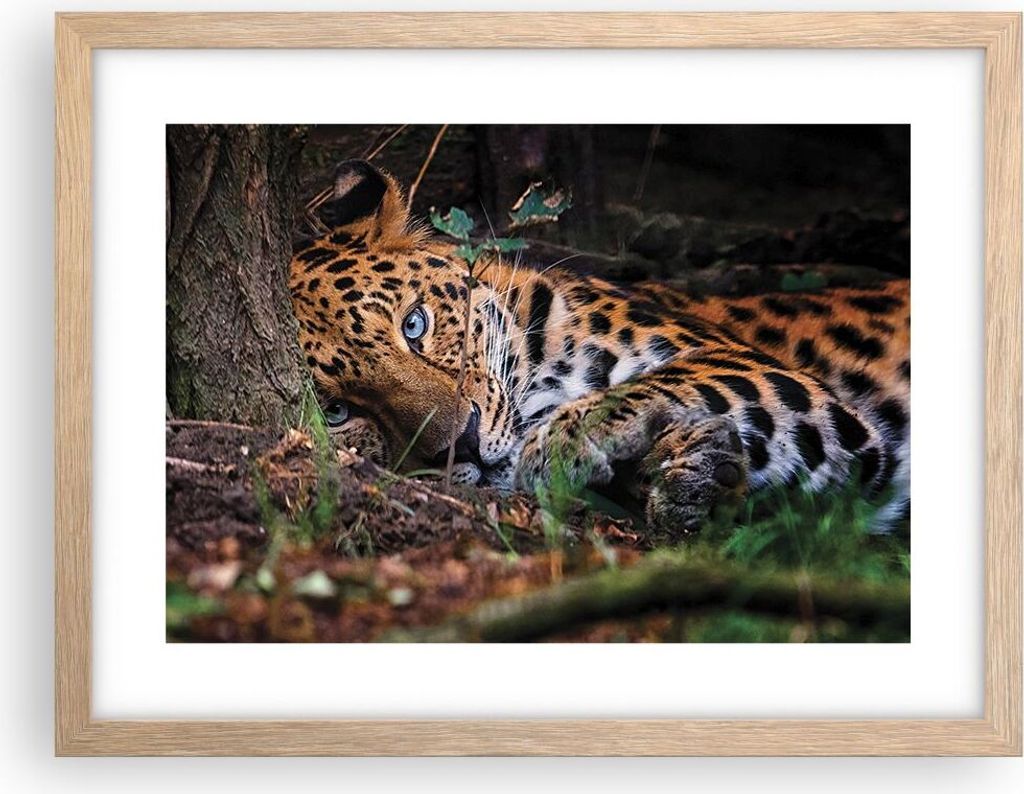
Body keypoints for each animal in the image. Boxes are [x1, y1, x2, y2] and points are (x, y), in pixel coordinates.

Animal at [289, 160, 909, 538]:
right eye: (337, 412)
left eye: (415, 325)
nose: (461, 444)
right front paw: (698, 479)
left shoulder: (760, 369)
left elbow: (672, 378)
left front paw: (566, 439)